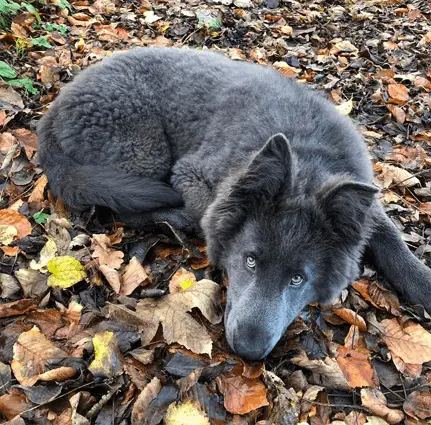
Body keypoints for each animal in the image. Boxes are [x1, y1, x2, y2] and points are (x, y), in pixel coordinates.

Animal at [37, 48, 431, 362]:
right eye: (250, 260)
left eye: (298, 279)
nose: (248, 350)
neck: (308, 155)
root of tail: (55, 107)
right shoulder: (191, 173)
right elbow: (209, 214)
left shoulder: (366, 206)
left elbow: (394, 242)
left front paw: (423, 281)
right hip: (146, 152)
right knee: (125, 204)